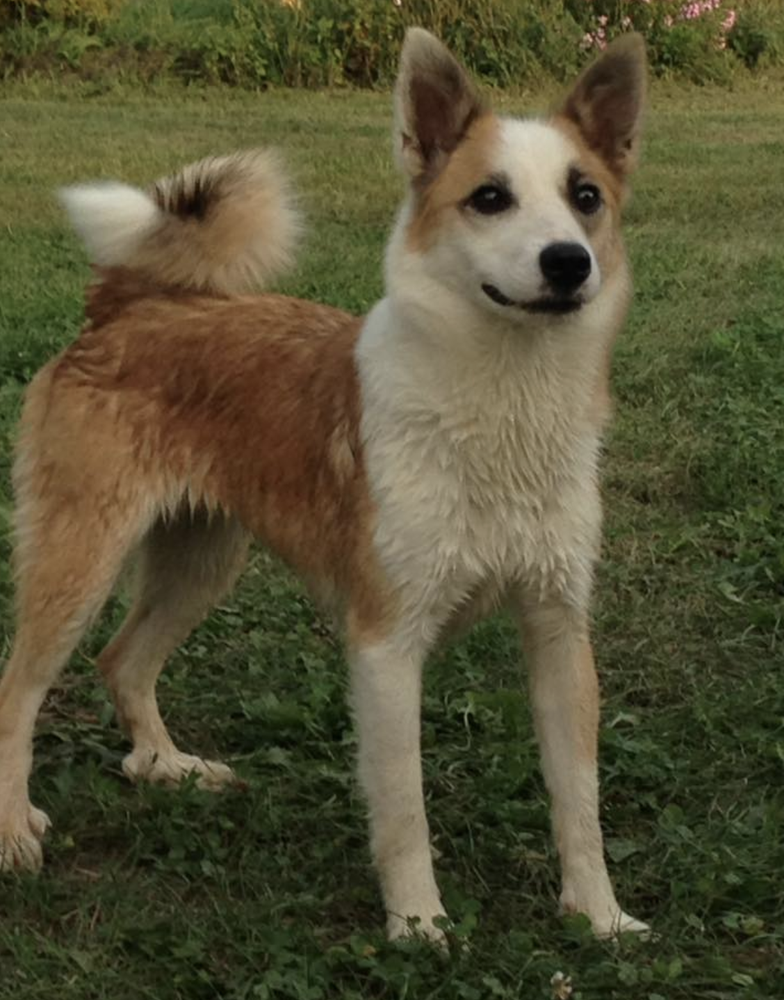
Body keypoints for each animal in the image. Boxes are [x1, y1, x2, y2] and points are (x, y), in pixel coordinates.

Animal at [0, 27, 648, 940]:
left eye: (585, 195)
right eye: (489, 198)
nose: (568, 262)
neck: (501, 406)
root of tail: (129, 305)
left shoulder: (558, 631)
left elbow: (578, 800)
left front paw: (598, 915)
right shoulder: (386, 644)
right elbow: (405, 809)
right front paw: (418, 927)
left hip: (203, 558)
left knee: (122, 660)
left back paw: (164, 765)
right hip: (78, 557)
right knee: (16, 693)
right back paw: (12, 830)